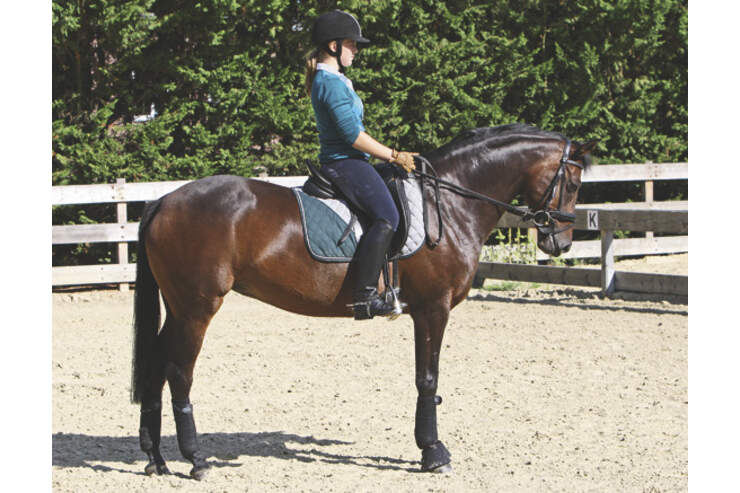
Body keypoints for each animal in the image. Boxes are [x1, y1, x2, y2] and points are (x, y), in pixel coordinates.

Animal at [130, 122, 600, 476]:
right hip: (197, 308)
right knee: (179, 372)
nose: (560, 242)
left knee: (154, 365)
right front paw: (433, 453)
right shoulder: (433, 309)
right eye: (574, 181)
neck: (449, 202)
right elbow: (428, 380)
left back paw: (156, 459)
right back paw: (195, 459)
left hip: (178, 307)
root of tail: (163, 200)